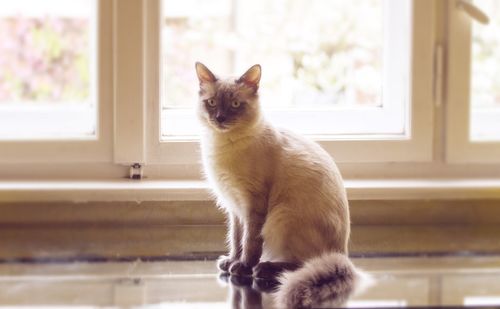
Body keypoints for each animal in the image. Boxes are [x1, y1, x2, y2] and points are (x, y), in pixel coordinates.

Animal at [193, 62, 362, 306]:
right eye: (212, 103)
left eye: (235, 105)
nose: (220, 118)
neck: (222, 144)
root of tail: (342, 253)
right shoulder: (234, 207)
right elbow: (236, 239)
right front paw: (231, 261)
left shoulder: (252, 203)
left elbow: (250, 242)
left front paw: (242, 267)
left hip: (281, 217)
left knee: (303, 263)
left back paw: (263, 269)